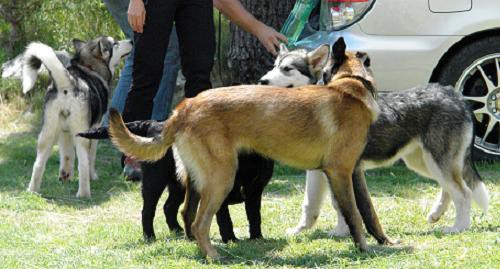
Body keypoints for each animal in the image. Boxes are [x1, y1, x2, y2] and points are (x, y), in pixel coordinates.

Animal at [78, 119, 274, 241]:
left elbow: (255, 215)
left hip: (179, 185)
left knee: (169, 207)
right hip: (154, 181)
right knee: (148, 210)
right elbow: (225, 219)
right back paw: (150, 236)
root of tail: (155, 123)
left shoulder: (255, 191)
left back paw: (177, 230)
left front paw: (257, 237)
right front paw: (230, 239)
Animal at [105, 37, 394, 258]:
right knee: (199, 222)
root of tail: (182, 109)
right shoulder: (340, 172)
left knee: (186, 214)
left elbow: (370, 212)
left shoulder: (352, 173)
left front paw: (384, 241)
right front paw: (364, 248)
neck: (352, 84)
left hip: (199, 181)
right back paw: (214, 256)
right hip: (221, 179)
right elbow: (355, 214)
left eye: (288, 68)